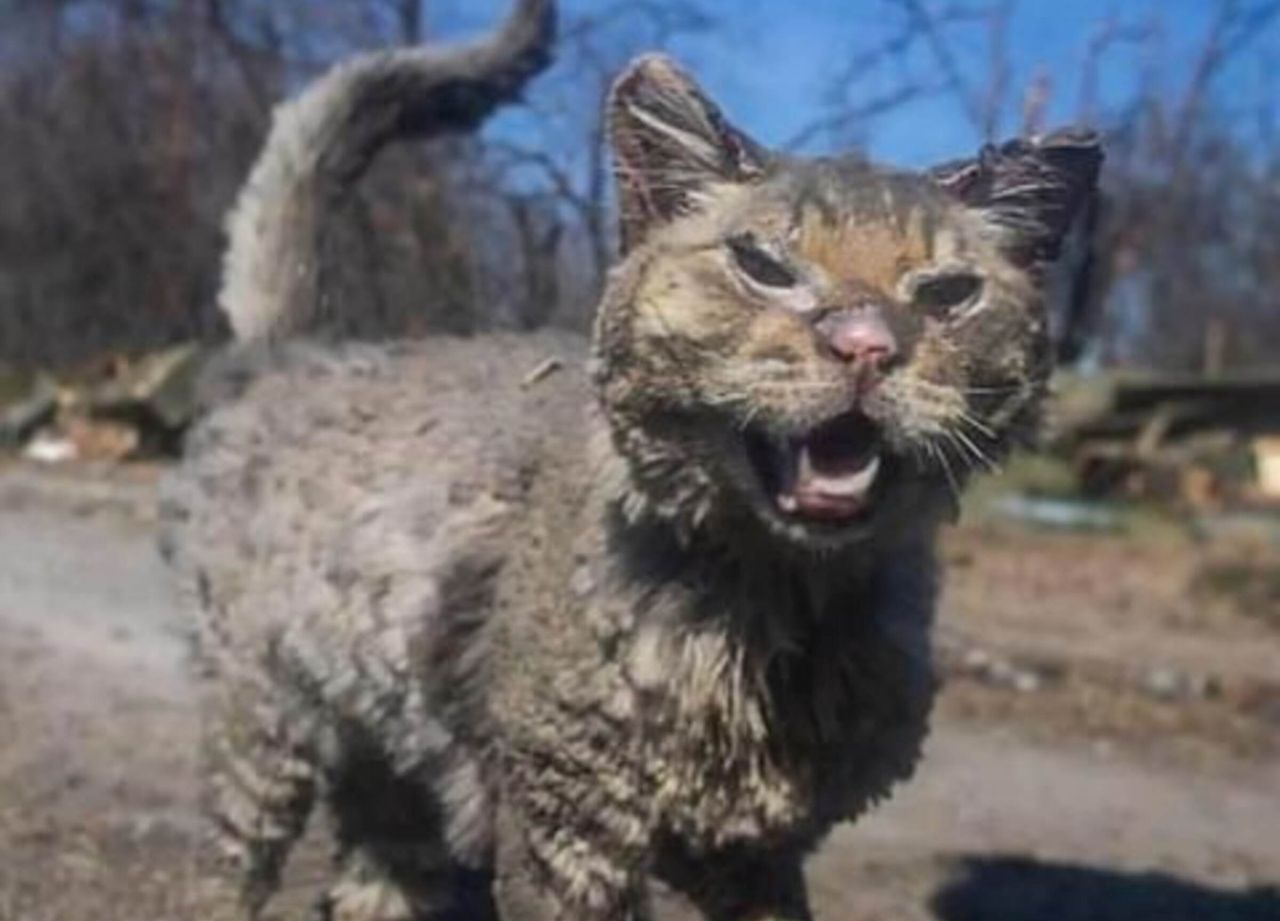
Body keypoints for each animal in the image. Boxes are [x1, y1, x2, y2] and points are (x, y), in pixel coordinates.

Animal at [160, 0, 1100, 915]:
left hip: (396, 771)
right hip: (260, 731)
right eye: (763, 264)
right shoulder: (565, 823)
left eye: (949, 293)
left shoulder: (750, 852)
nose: (865, 344)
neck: (767, 611)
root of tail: (302, 349)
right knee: (216, 875)